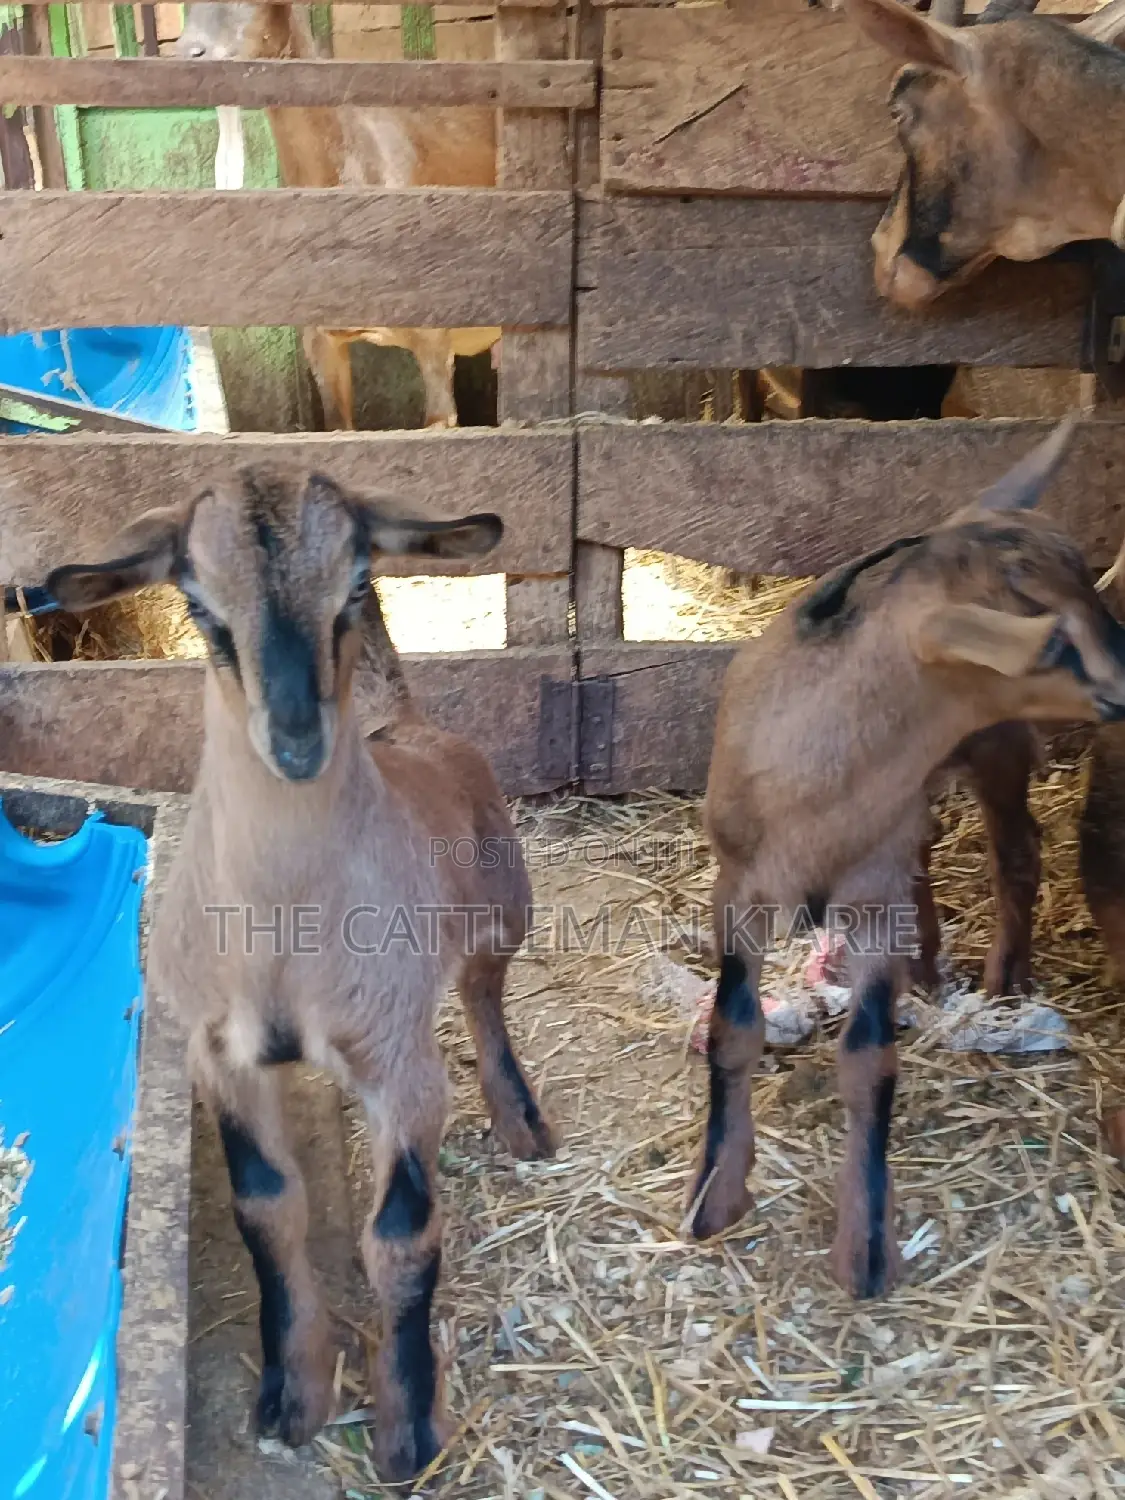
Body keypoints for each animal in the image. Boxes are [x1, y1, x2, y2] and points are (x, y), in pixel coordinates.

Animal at [44, 470, 555, 1481]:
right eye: (198, 605)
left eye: (357, 581)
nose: (296, 740)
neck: (283, 929)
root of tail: (408, 726)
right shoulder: (219, 1054)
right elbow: (266, 1210)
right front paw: (293, 1394)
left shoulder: (400, 1065)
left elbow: (401, 1234)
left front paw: (408, 1428)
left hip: (500, 905)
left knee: (484, 996)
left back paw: (521, 1118)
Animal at [688, 417, 1125, 1299]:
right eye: (1045, 635)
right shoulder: (738, 889)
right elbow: (732, 1028)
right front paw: (716, 1193)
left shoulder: (871, 896)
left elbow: (867, 1061)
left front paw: (863, 1247)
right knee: (928, 857)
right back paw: (928, 969)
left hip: (993, 749)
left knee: (1016, 851)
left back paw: (1002, 981)